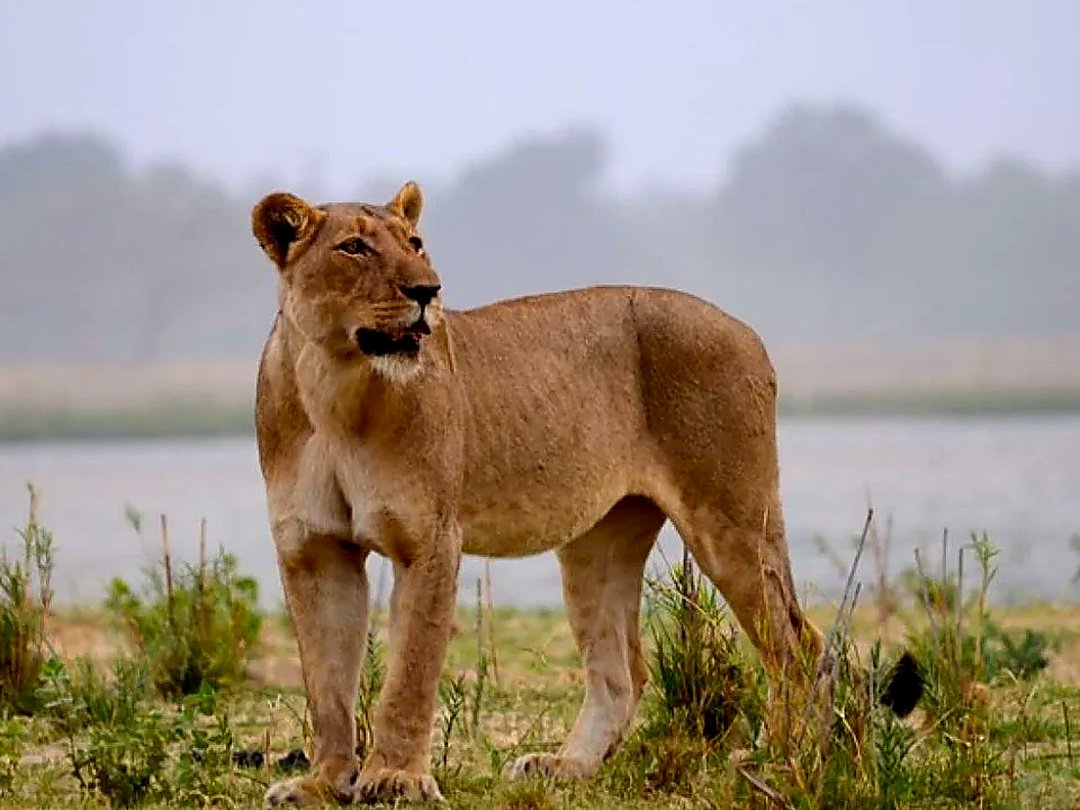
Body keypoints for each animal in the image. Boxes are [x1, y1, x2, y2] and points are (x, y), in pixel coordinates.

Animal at [251, 182, 920, 806]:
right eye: (353, 247)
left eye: (415, 244)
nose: (427, 291)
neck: (333, 386)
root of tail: (745, 328)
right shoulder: (312, 551)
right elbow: (328, 684)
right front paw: (322, 782)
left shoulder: (428, 539)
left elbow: (409, 674)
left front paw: (394, 780)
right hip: (599, 540)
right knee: (624, 673)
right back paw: (565, 766)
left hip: (731, 520)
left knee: (802, 647)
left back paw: (780, 763)